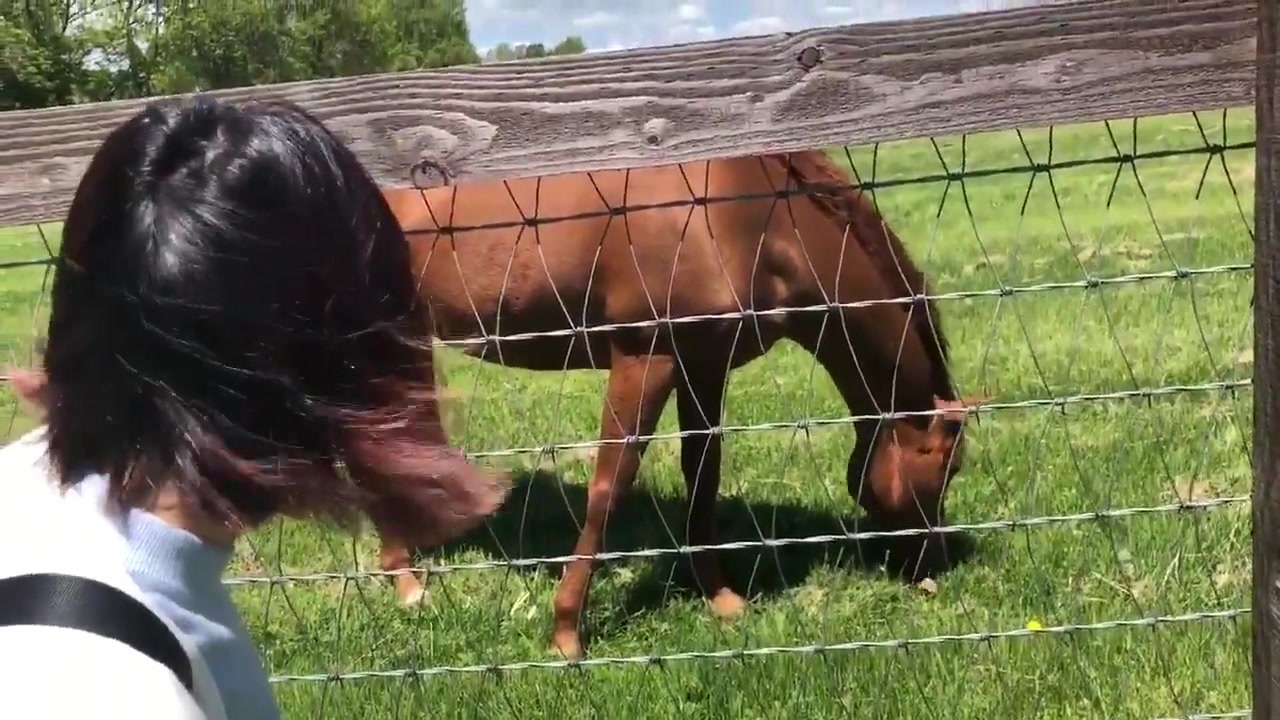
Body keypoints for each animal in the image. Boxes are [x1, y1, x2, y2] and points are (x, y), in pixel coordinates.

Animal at [376, 147, 977, 655]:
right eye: (945, 468)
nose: (934, 568)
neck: (747, 217)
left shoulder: (705, 364)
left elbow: (703, 474)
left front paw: (721, 598)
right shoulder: (645, 358)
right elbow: (609, 487)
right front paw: (566, 632)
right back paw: (405, 581)